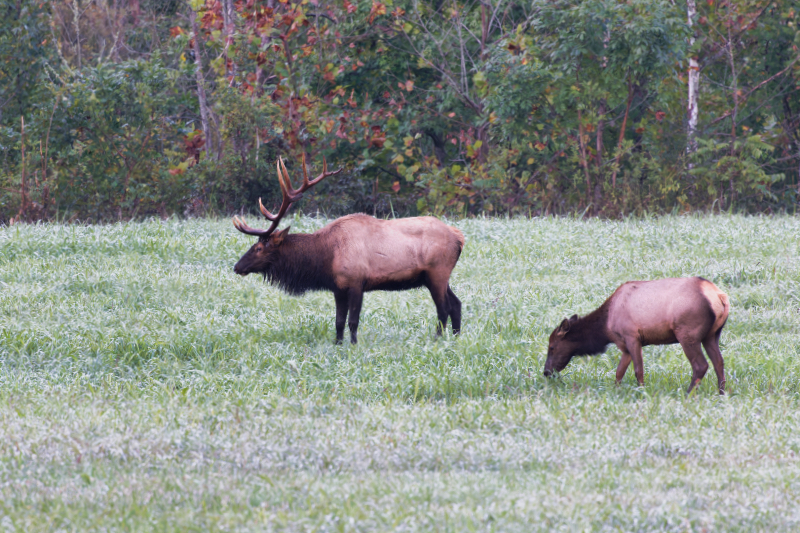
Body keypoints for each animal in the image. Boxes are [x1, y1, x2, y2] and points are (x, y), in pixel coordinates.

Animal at [231, 154, 466, 344]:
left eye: (259, 247)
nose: (237, 267)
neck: (325, 258)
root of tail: (459, 238)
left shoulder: (356, 281)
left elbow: (353, 321)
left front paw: (353, 346)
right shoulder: (338, 287)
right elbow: (338, 322)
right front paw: (337, 345)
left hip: (437, 271)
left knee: (443, 309)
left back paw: (437, 340)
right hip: (435, 276)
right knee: (456, 304)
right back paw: (456, 338)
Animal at [544, 276, 732, 392]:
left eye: (552, 347)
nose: (546, 372)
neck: (606, 327)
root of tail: (720, 296)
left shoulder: (632, 337)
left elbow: (638, 370)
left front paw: (642, 392)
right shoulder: (624, 345)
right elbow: (619, 372)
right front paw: (616, 391)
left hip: (687, 334)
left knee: (701, 365)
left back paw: (688, 394)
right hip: (712, 335)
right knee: (719, 362)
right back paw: (721, 393)